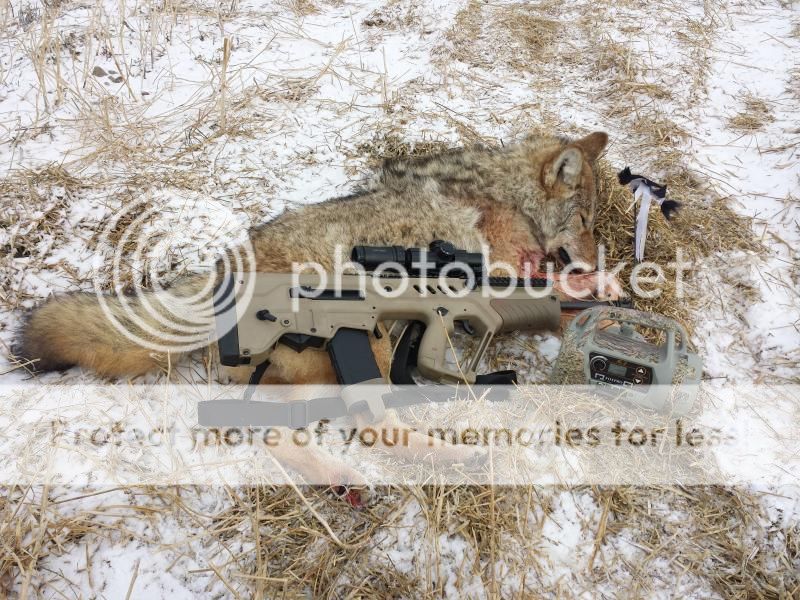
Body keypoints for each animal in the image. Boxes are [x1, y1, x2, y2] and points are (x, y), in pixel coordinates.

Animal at [16, 131, 615, 488]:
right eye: (586, 220)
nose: (593, 254)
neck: (503, 193)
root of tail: (218, 274)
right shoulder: (501, 267)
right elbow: (549, 287)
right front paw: (602, 288)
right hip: (365, 343)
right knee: (369, 427)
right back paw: (447, 461)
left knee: (276, 433)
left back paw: (344, 480)